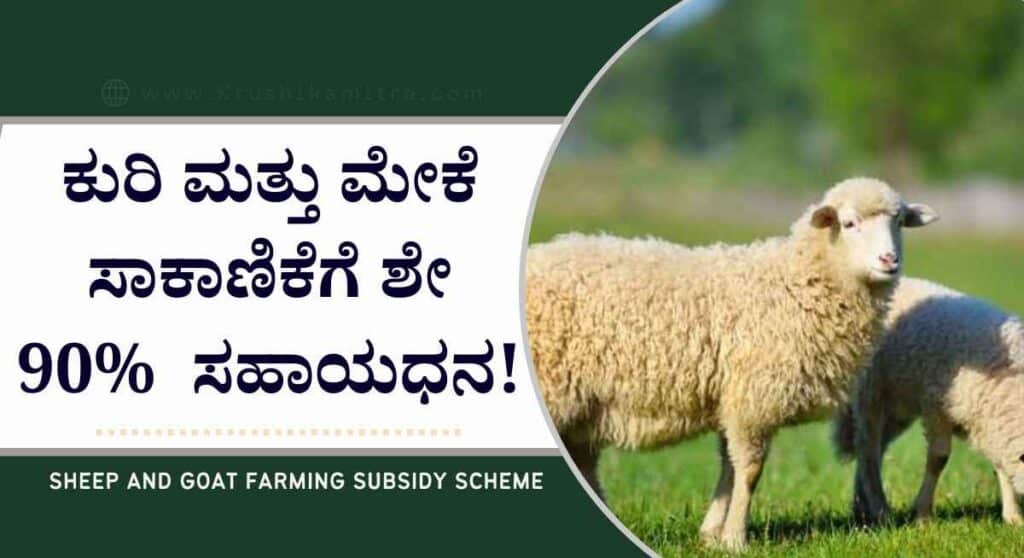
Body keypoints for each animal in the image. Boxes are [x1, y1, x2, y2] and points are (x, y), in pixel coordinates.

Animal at [525, 177, 938, 549]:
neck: (797, 284)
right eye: (849, 224)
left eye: (899, 221)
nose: (889, 260)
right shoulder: (753, 399)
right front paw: (736, 538)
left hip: (584, 405)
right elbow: (750, 471)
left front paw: (712, 534)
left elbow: (728, 466)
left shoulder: (734, 396)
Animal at [834, 277, 1024, 525]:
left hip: (897, 408)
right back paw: (878, 507)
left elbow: (1000, 466)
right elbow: (938, 459)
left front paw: (1013, 517)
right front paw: (923, 514)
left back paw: (862, 507)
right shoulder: (936, 406)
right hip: (871, 391)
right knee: (868, 447)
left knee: (876, 447)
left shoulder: (989, 422)